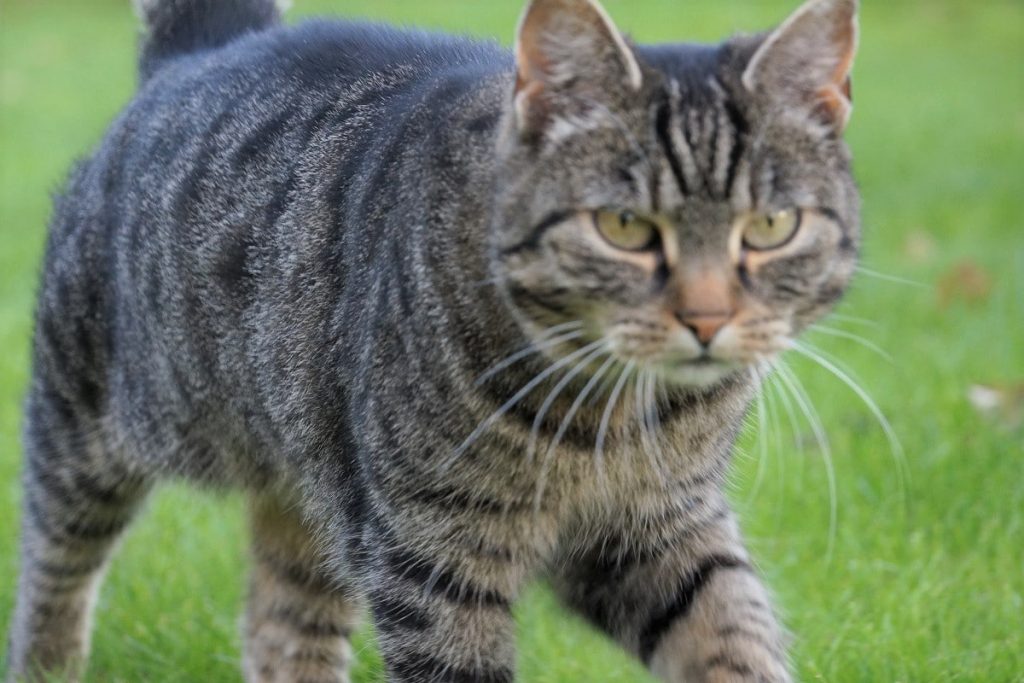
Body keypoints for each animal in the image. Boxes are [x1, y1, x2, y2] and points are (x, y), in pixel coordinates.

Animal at [8, 0, 860, 679]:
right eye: (624, 226)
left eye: (772, 226)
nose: (708, 319)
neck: (613, 413)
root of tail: (209, 49)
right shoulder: (431, 552)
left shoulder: (658, 528)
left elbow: (734, 634)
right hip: (89, 421)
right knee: (52, 563)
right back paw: (46, 661)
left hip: (315, 481)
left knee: (281, 625)